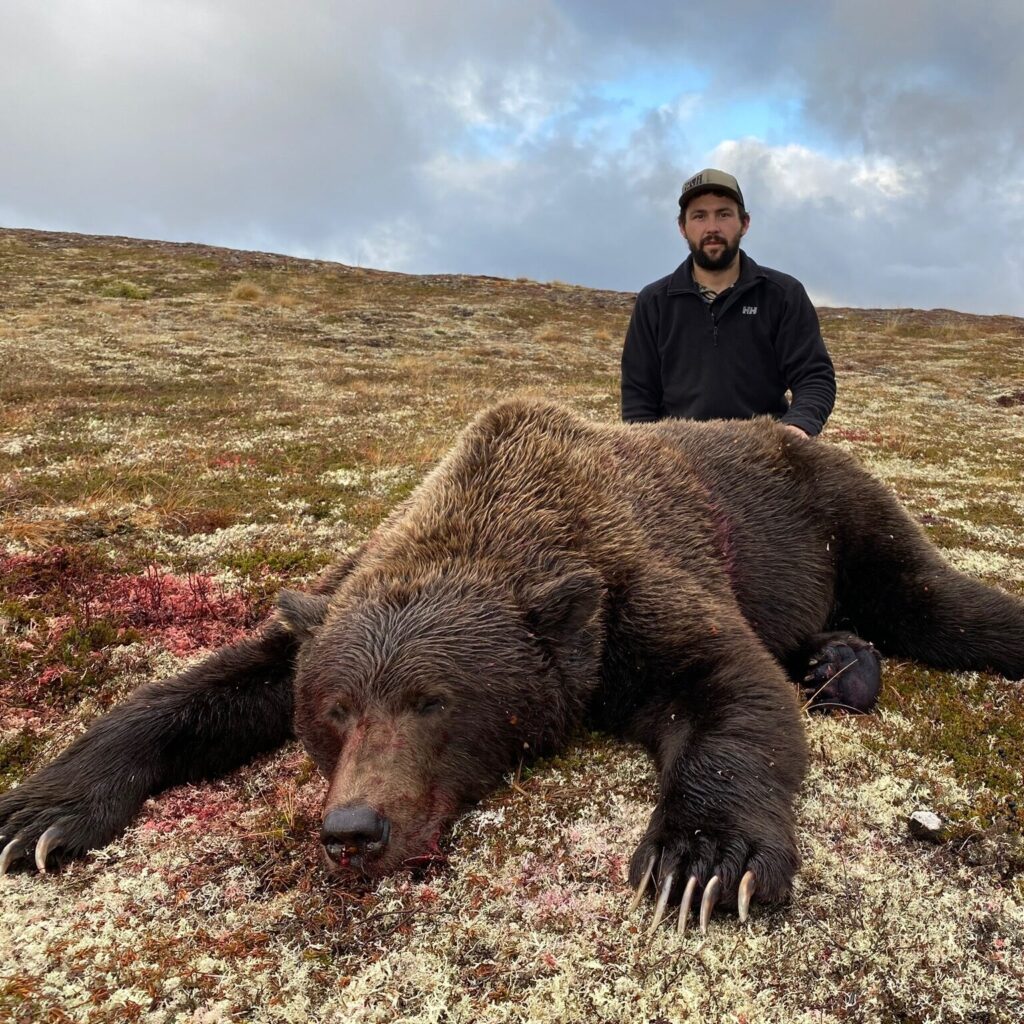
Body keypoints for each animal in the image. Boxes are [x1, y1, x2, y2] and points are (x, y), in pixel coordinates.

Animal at [1, 399, 1022, 935]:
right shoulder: (337, 594)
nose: (354, 830)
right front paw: (40, 814)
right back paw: (841, 663)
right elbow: (210, 685)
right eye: (335, 710)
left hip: (838, 514)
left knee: (937, 602)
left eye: (433, 700)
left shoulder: (632, 594)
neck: (498, 515)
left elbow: (731, 686)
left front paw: (701, 858)